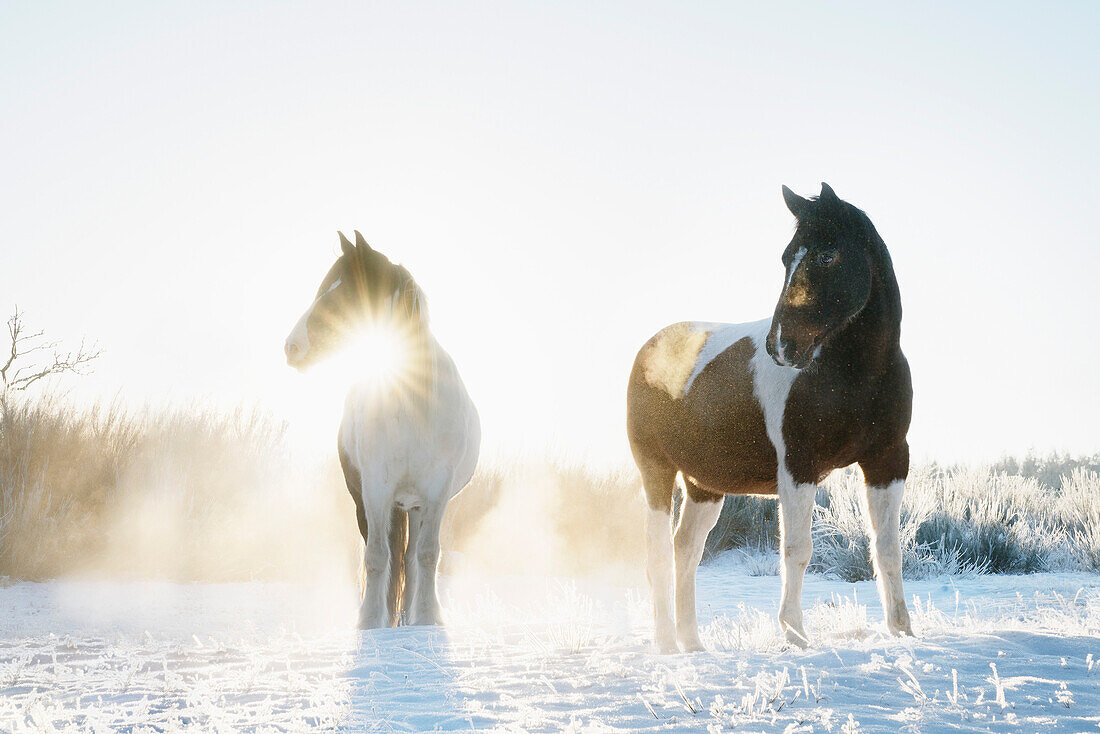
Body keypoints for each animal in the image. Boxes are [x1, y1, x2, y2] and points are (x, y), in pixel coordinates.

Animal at [283, 234, 477, 633]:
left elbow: (427, 555)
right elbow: (376, 556)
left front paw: (428, 619)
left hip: (415, 505)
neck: (411, 403)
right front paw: (371, 622)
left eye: (344, 292)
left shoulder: (436, 491)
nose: (291, 347)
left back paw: (408, 618)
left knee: (411, 559)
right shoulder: (375, 488)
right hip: (378, 500)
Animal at [624, 182, 915, 647]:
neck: (853, 374)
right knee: (658, 555)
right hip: (656, 471)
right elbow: (797, 550)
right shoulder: (799, 465)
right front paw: (795, 633)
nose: (780, 346)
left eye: (827, 255)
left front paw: (902, 630)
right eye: (786, 258)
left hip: (704, 485)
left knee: (685, 551)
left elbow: (887, 547)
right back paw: (667, 645)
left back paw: (693, 645)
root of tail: (648, 350)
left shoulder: (888, 460)